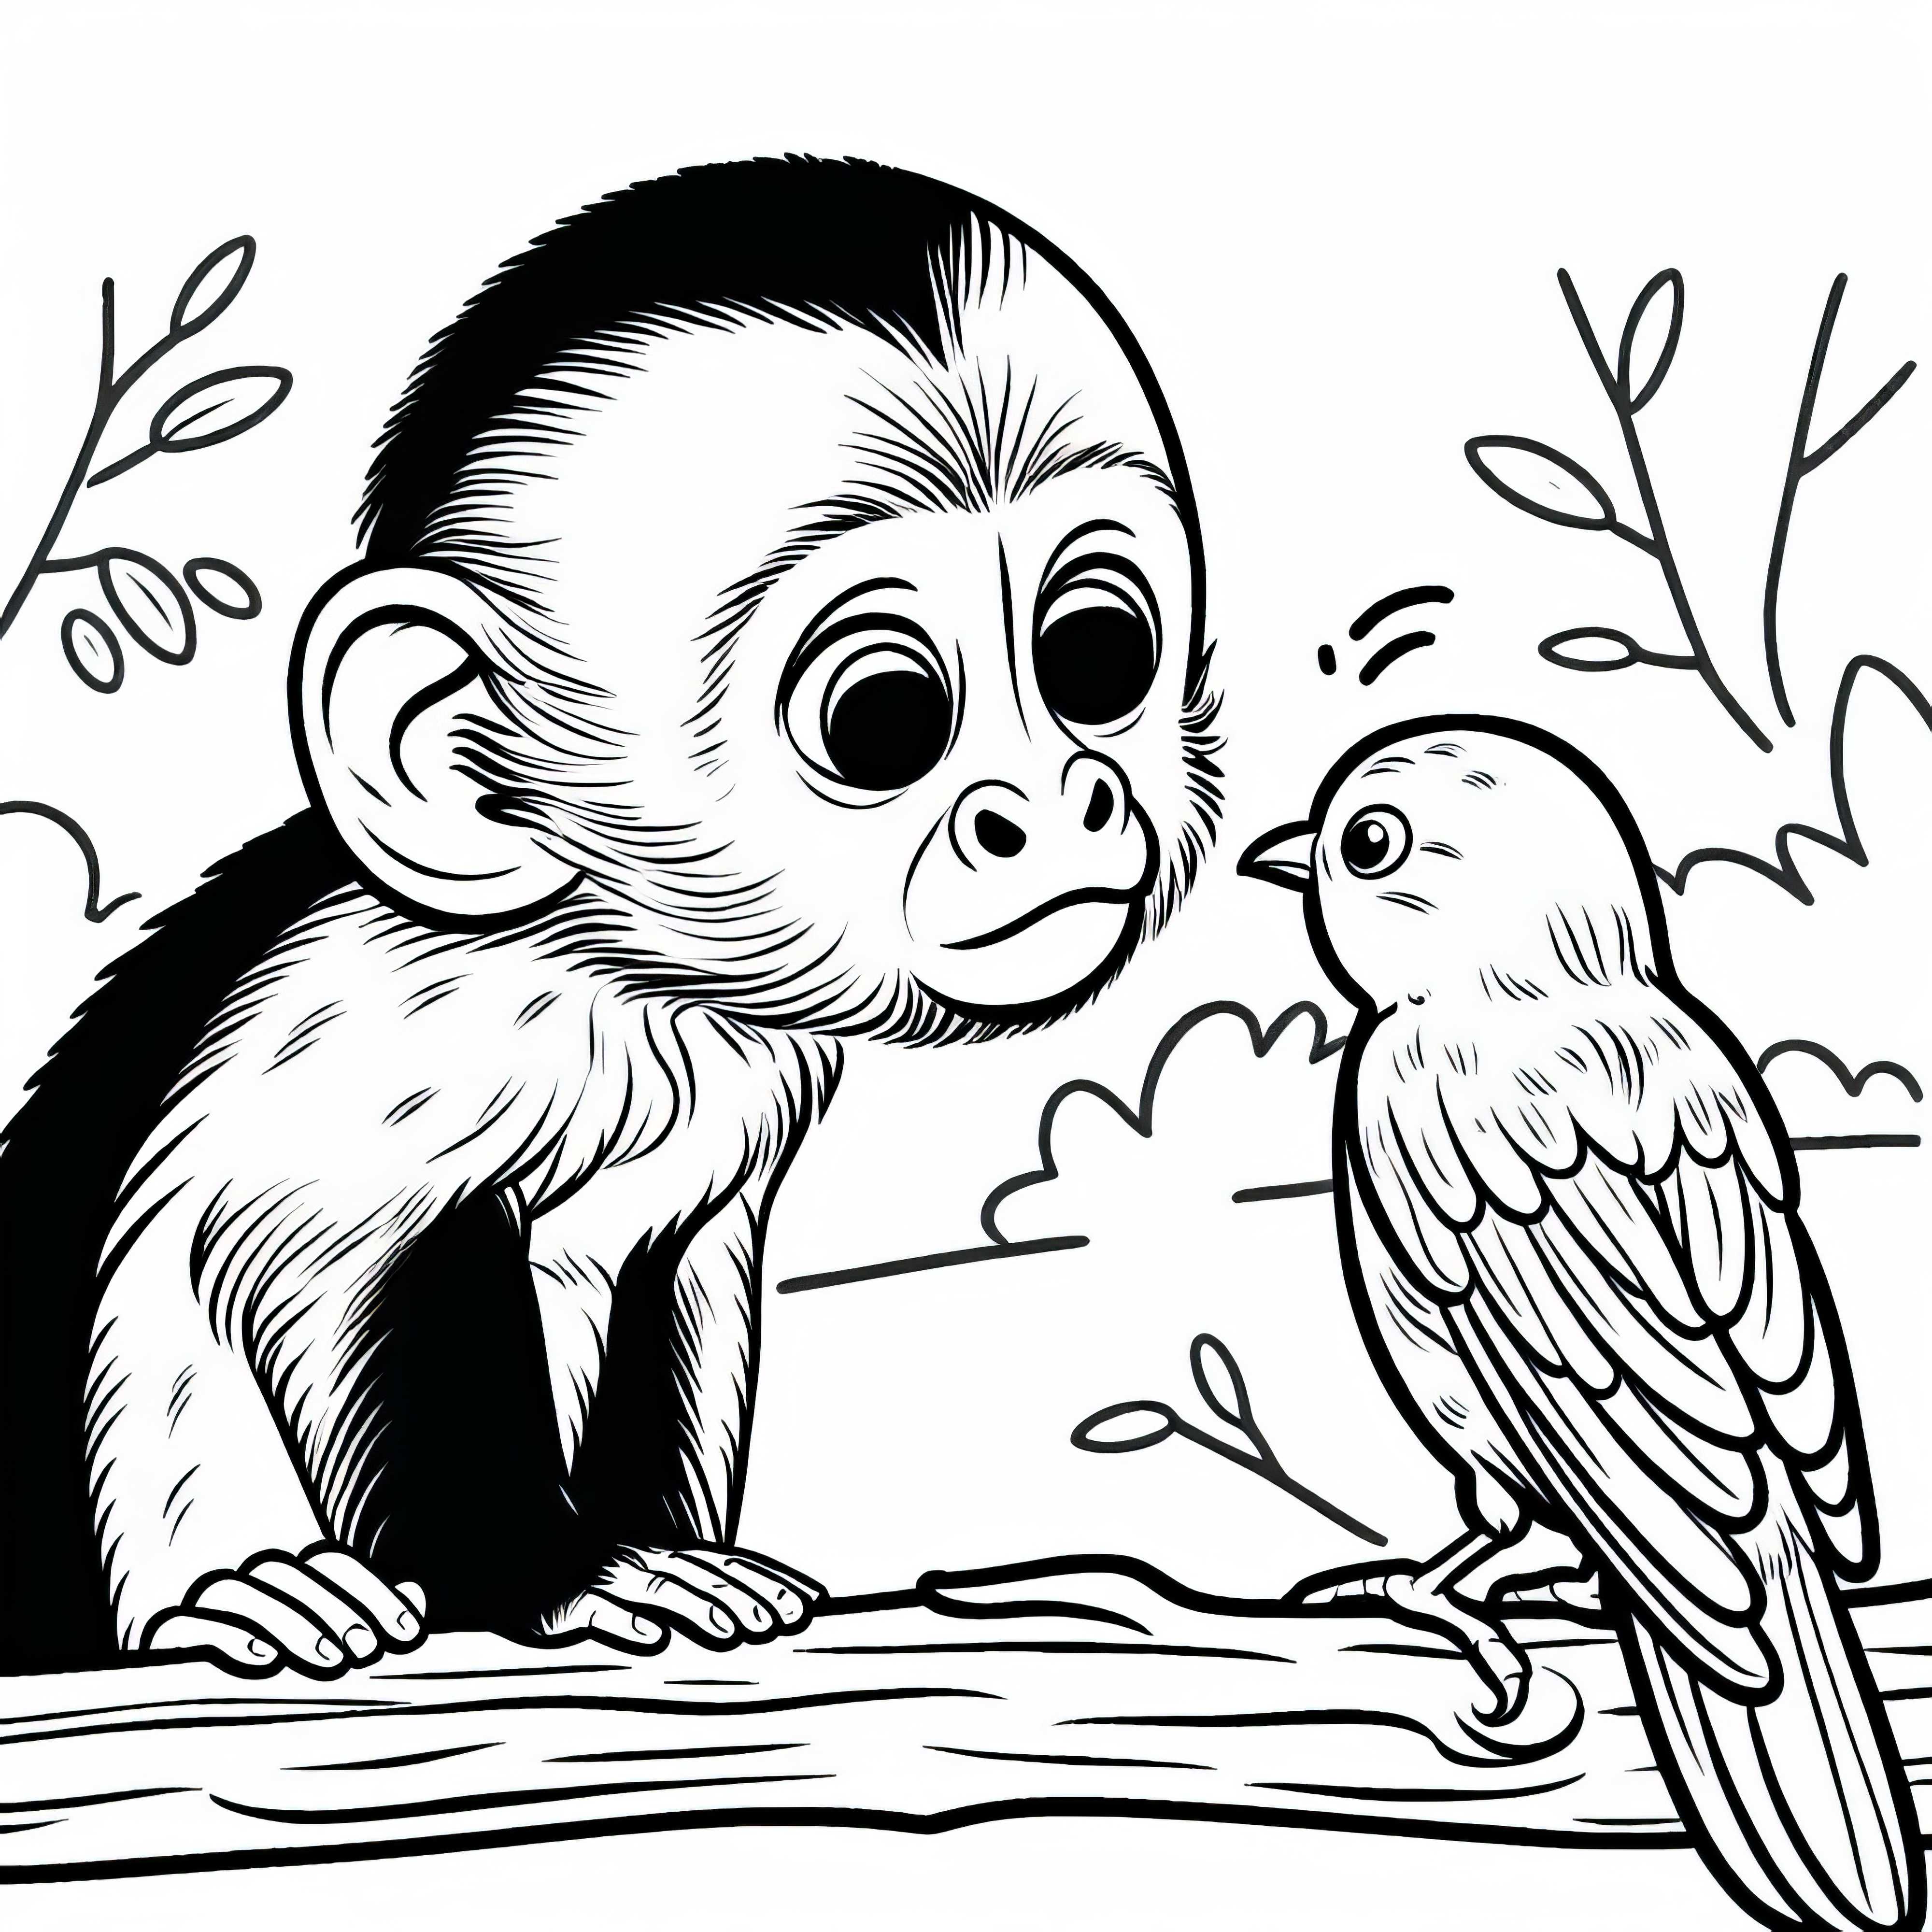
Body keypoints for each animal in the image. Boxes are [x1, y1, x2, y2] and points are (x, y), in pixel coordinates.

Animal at [0, 158, 1221, 1674]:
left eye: (1095, 656)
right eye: (884, 719)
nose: (1058, 800)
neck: (607, 972)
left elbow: (672, 1277)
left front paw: (666, 1552)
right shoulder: (380, 1035)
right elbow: (319, 1267)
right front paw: (563, 1574)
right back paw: (254, 1598)